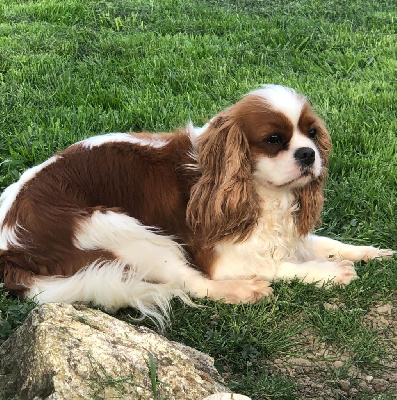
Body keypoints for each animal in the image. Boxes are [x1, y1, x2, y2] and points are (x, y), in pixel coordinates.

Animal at [0, 85, 392, 324]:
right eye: (274, 140)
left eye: (311, 134)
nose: (309, 154)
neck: (261, 193)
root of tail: (10, 250)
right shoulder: (222, 259)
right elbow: (275, 266)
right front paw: (329, 272)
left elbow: (323, 243)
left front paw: (369, 252)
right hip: (122, 230)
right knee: (191, 283)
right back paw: (242, 290)